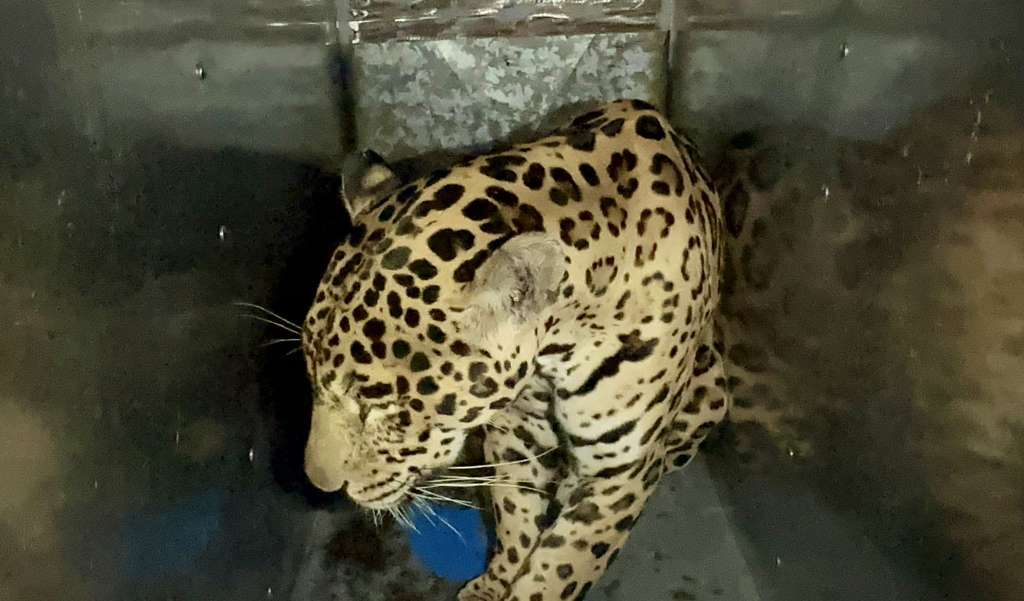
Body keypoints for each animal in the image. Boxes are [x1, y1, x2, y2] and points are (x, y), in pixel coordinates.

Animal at [299, 99, 732, 601]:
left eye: (381, 407)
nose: (320, 485)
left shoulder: (619, 470)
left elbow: (562, 566)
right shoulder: (515, 432)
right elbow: (516, 521)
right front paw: (495, 584)